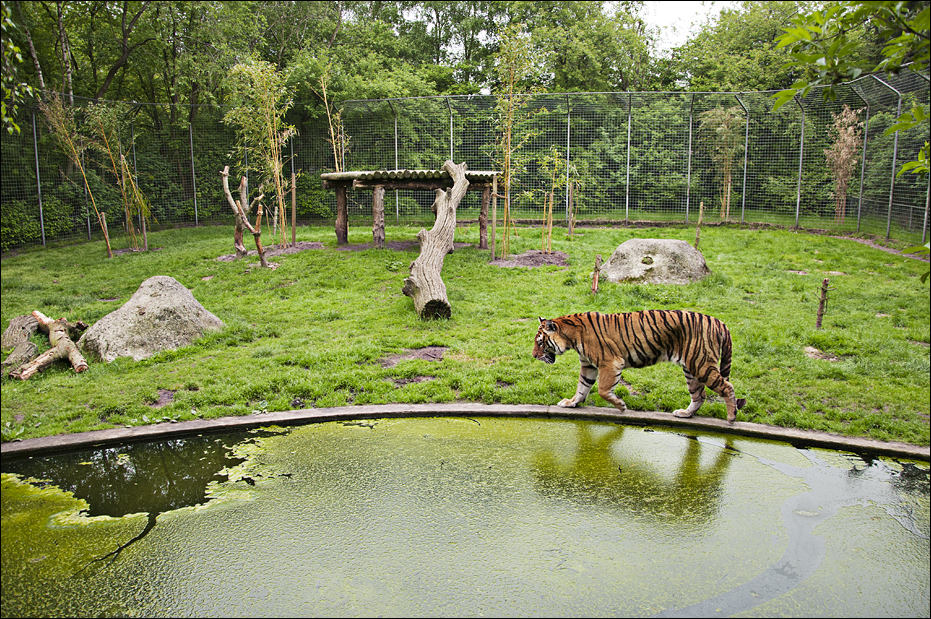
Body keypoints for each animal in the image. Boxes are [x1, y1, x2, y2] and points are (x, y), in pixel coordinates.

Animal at [532, 310, 746, 422]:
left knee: (727, 387)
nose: (534, 356)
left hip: (701, 363)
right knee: (699, 395)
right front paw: (571, 403)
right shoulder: (588, 366)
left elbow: (602, 390)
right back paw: (685, 414)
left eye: (541, 343)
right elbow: (582, 387)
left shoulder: (610, 363)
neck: (571, 337)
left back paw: (731, 417)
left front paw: (621, 406)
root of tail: (720, 322)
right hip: (691, 369)